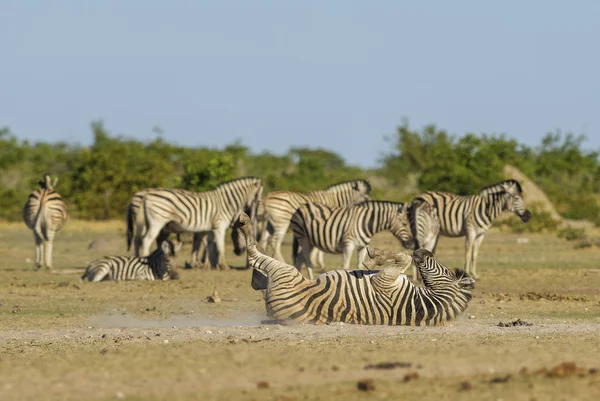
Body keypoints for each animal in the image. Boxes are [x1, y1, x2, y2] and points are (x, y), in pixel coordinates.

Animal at [233, 212, 474, 324]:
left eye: (447, 272)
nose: (423, 251)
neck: (423, 303)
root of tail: (276, 315)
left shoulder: (384, 283)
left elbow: (403, 258)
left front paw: (372, 258)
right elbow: (402, 257)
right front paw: (376, 255)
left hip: (286, 273)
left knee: (254, 255)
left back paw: (244, 221)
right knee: (258, 272)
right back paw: (256, 278)